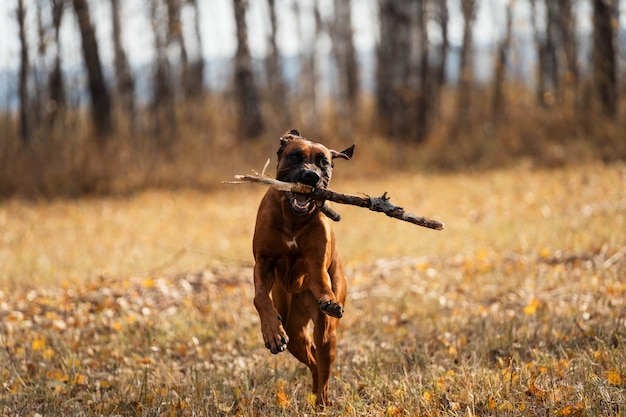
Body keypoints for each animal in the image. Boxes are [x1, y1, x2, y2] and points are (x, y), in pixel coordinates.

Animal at [251, 128, 354, 404]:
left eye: (323, 162)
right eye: (296, 156)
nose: (311, 176)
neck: (293, 219)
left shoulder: (316, 265)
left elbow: (320, 279)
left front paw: (329, 300)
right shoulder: (263, 263)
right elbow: (260, 298)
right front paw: (272, 332)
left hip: (326, 334)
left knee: (322, 362)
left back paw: (322, 402)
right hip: (294, 327)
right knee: (313, 361)